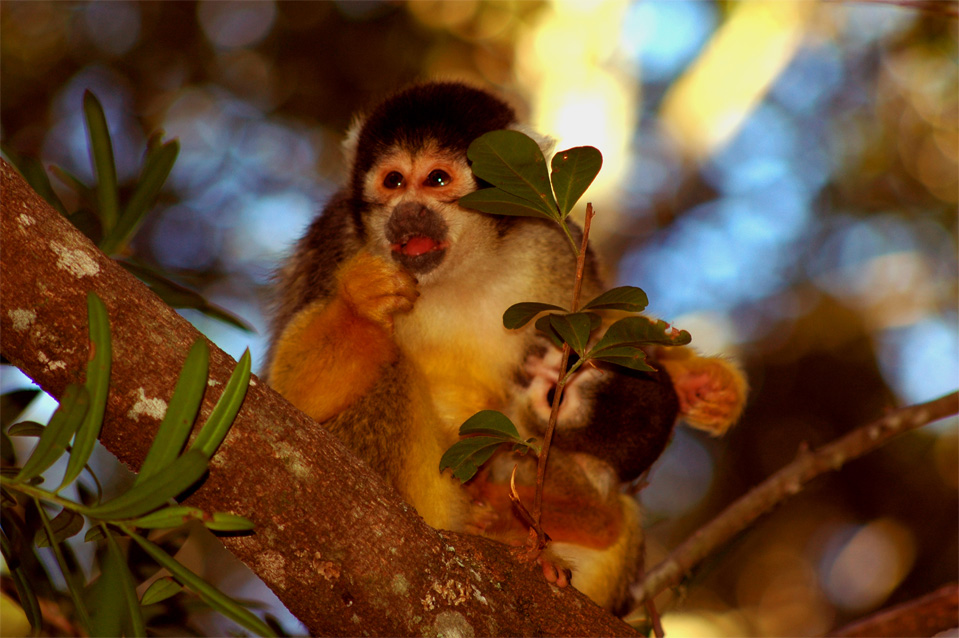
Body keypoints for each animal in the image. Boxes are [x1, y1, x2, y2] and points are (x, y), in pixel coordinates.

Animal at [264, 81, 752, 616]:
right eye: (393, 182)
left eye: (436, 179)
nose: (407, 212)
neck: (457, 269)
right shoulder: (338, 243)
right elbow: (291, 402)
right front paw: (361, 303)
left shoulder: (553, 241)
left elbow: (600, 323)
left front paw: (697, 380)